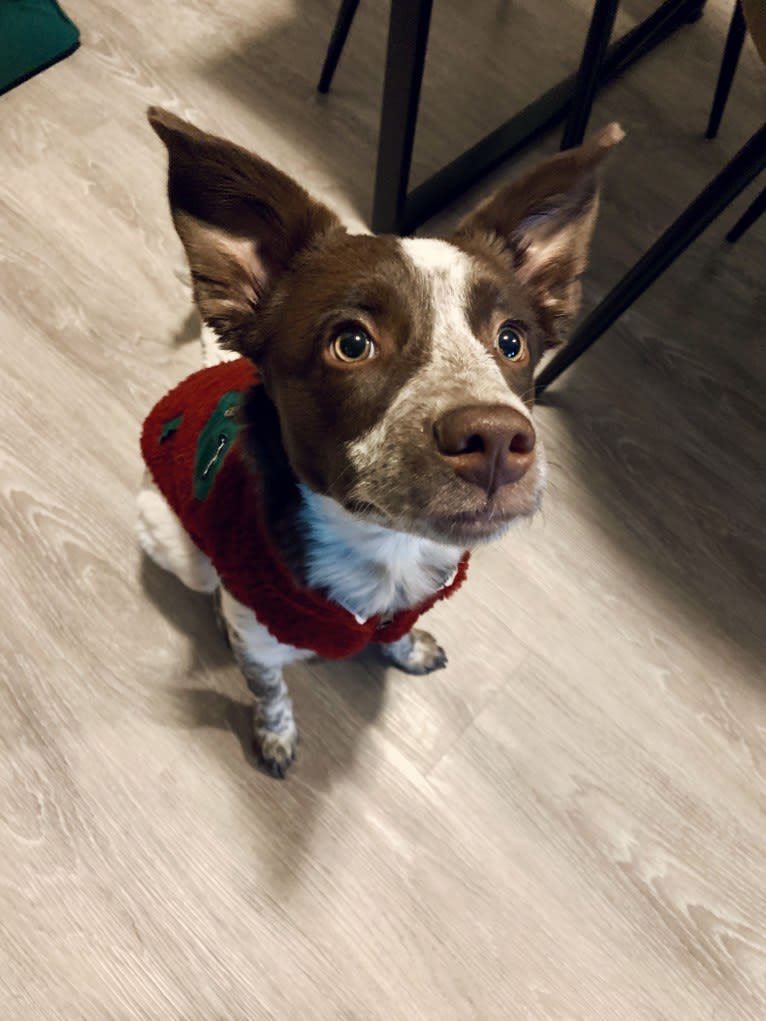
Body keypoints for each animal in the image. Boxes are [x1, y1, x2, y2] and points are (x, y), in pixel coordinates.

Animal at [134, 109, 620, 771]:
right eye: (351, 343)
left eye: (512, 340)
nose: (497, 438)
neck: (386, 551)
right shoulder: (258, 640)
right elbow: (269, 687)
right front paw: (276, 733)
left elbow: (398, 632)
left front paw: (406, 649)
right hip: (164, 532)